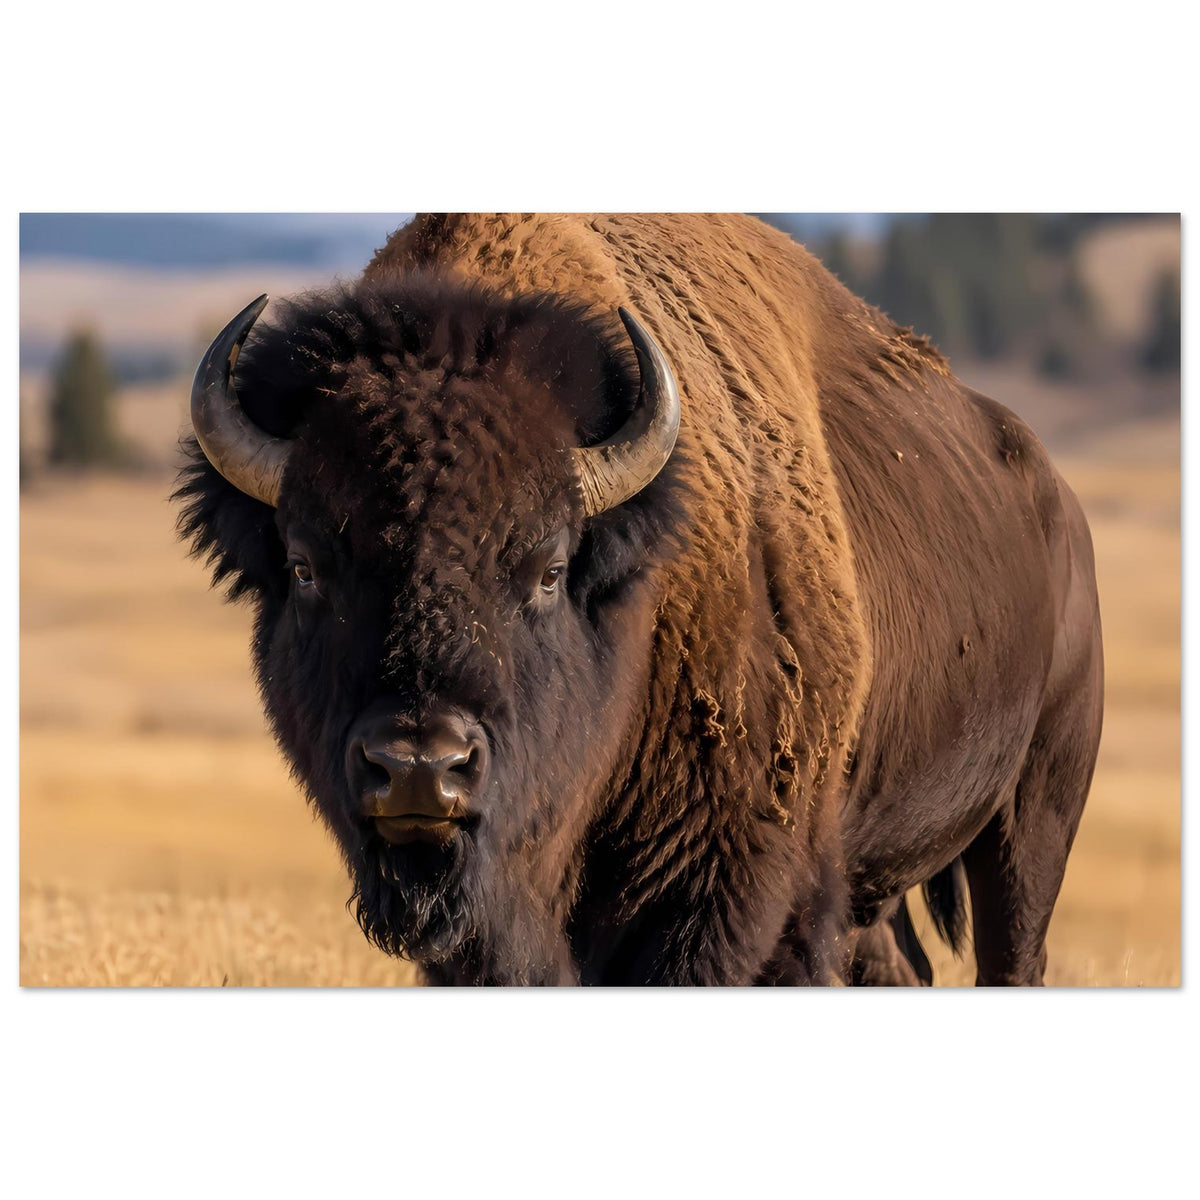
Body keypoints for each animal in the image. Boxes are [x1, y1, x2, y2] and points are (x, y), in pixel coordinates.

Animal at [175, 213, 1103, 985]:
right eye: (304, 566)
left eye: (548, 568)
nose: (418, 767)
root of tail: (1059, 504)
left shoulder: (726, 895)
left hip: (1034, 813)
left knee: (1014, 949)